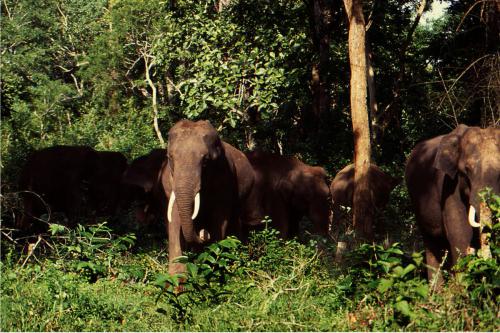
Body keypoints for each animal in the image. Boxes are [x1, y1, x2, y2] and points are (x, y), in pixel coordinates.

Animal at [163, 120, 262, 274]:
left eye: (205, 160)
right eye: (170, 158)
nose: (204, 234)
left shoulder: (225, 177)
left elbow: (220, 218)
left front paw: (210, 268)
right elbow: (174, 218)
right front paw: (176, 277)